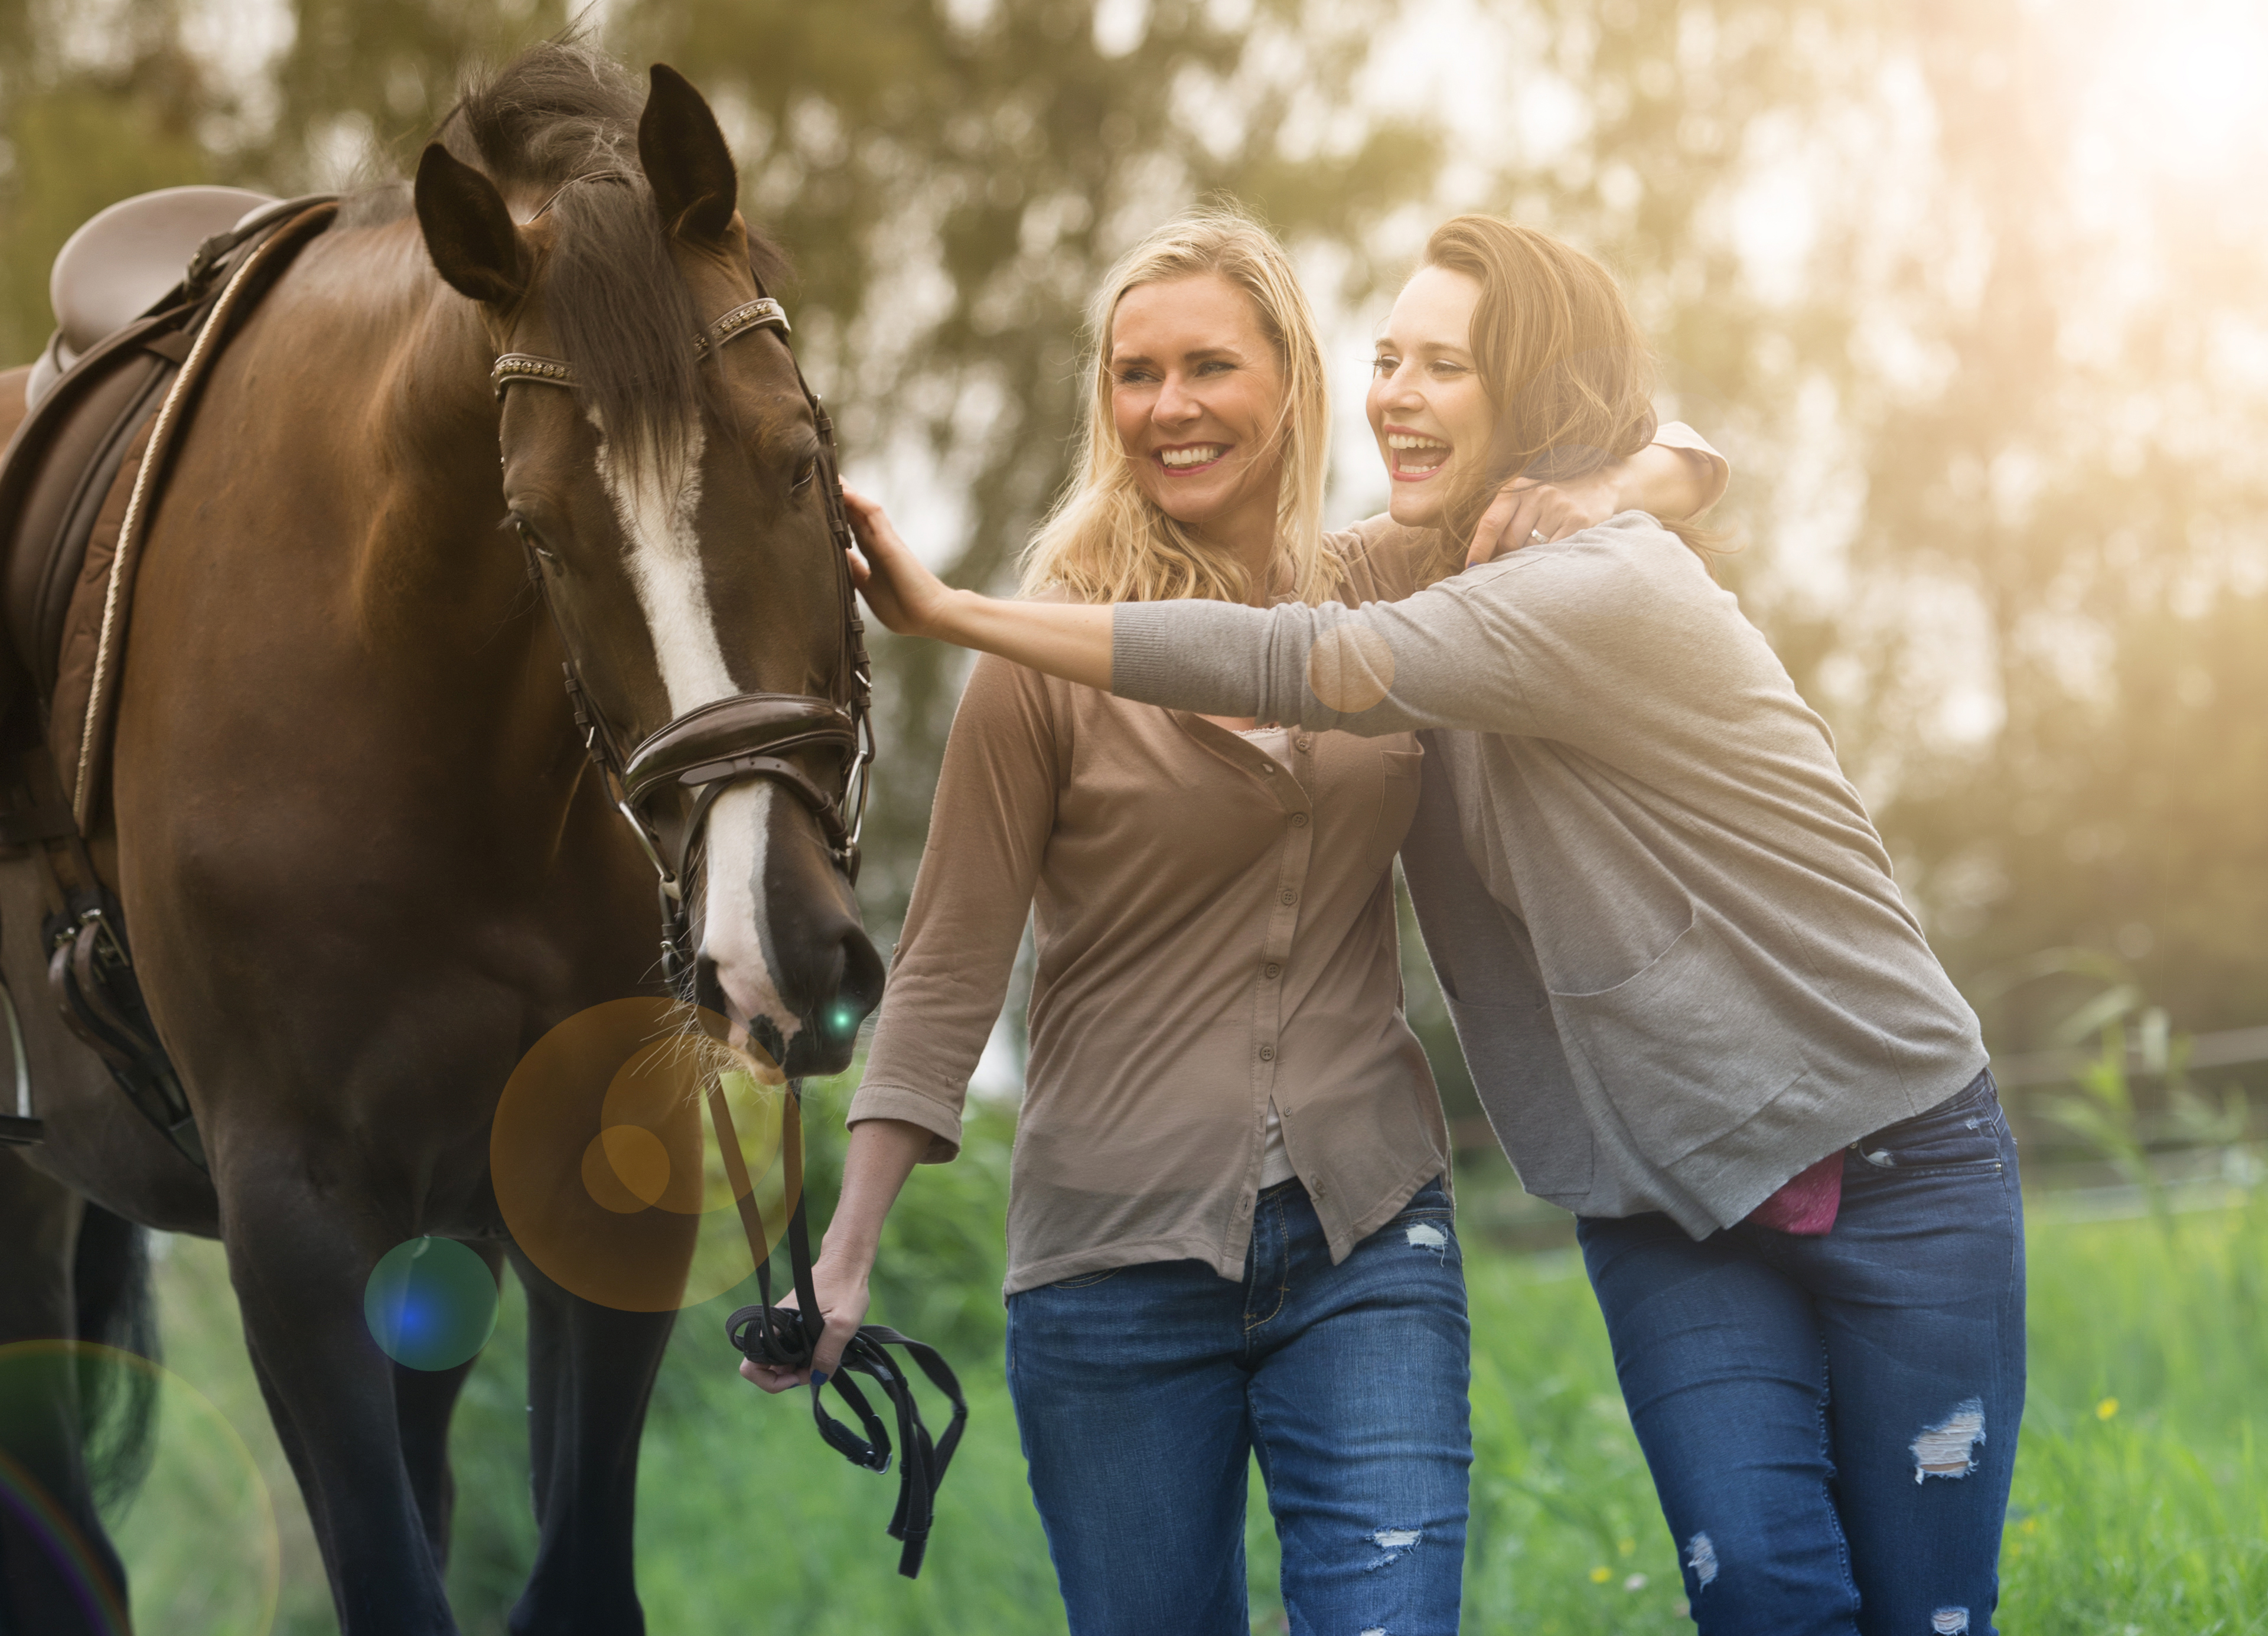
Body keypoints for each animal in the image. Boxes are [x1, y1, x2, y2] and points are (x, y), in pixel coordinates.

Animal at [0, 44, 884, 1624]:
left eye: (798, 456)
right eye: (534, 527)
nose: (771, 946)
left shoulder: (593, 1179)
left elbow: (570, 1577)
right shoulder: (295, 1228)